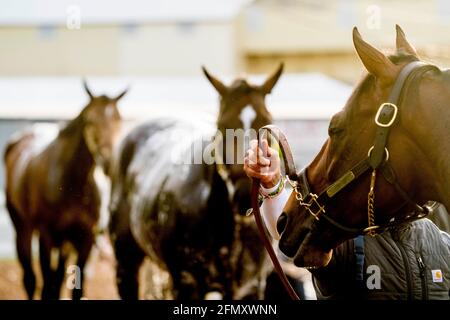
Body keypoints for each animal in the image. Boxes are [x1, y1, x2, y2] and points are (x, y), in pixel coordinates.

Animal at [4, 81, 128, 298]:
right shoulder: (46, 236)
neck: (71, 184)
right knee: (30, 279)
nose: (109, 162)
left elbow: (74, 288)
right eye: (90, 120)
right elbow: (46, 288)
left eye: (118, 118)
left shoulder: (85, 239)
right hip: (23, 228)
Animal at [109, 63, 284, 298]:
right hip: (126, 265)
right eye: (222, 124)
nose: (244, 193)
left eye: (266, 121)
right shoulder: (186, 282)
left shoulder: (251, 287)